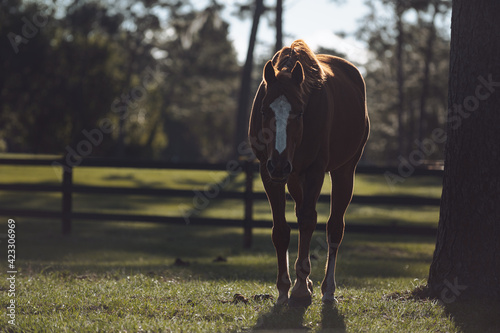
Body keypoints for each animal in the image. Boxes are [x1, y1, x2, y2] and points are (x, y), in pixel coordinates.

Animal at [248, 39, 370, 306]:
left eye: (300, 112)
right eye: (264, 111)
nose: (279, 164)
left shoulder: (315, 171)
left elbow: (307, 220)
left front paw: (300, 287)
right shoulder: (267, 171)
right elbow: (281, 230)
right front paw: (284, 288)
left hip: (344, 171)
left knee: (334, 227)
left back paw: (327, 289)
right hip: (293, 177)